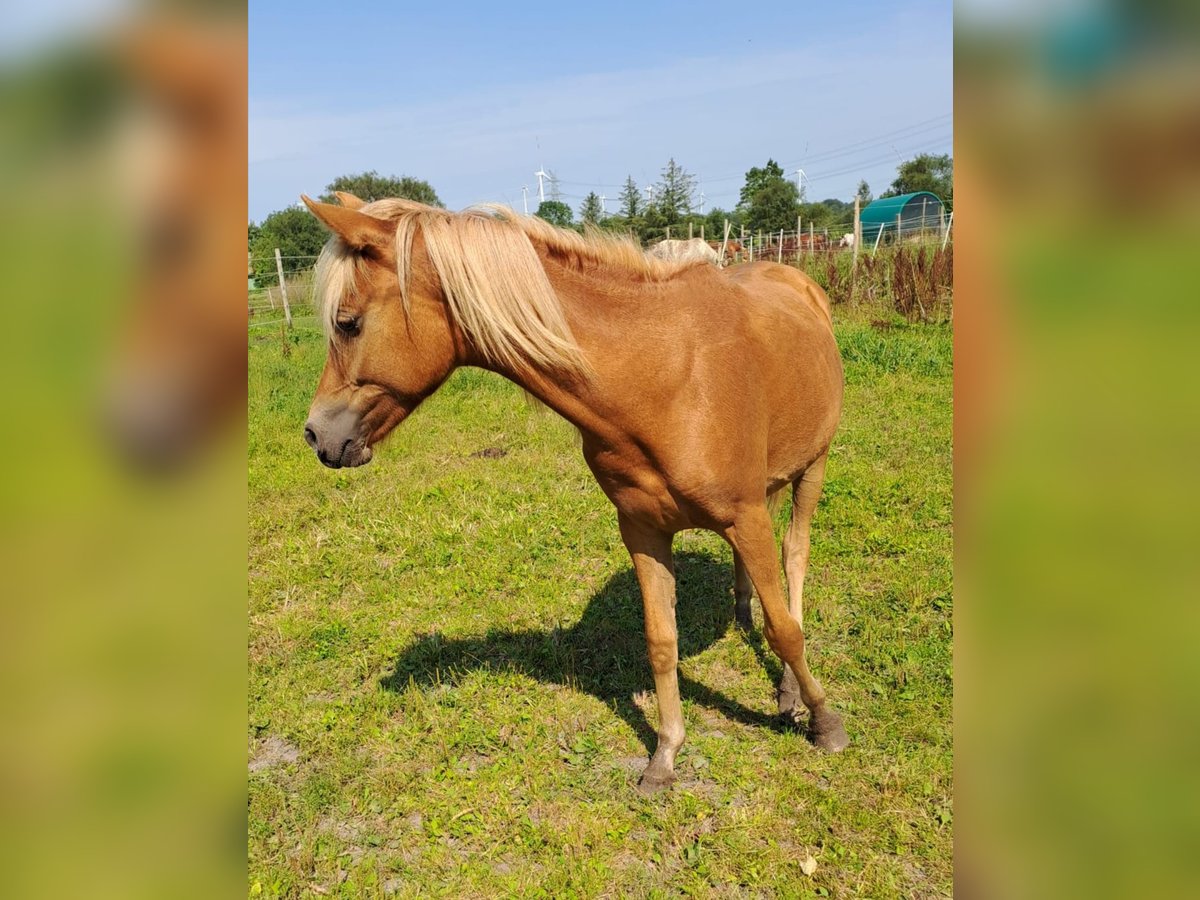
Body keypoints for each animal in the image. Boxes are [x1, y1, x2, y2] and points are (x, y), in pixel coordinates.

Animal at [300, 194, 849, 792]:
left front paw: (825, 722)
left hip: (811, 469)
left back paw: (792, 689)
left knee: (794, 561)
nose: (316, 435)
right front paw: (665, 754)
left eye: (347, 323)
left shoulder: (744, 517)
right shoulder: (644, 529)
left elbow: (786, 632)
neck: (667, 376)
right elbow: (661, 642)